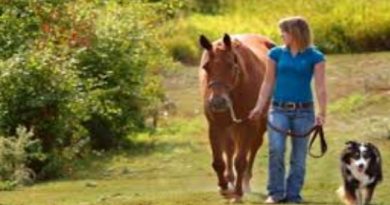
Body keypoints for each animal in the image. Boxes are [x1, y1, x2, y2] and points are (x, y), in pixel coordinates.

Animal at [198, 33, 274, 202]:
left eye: (230, 65)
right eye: (206, 67)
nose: (218, 102)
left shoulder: (248, 125)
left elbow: (240, 161)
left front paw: (238, 193)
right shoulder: (215, 126)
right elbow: (219, 161)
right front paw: (224, 187)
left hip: (259, 125)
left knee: (253, 148)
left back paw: (245, 183)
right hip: (230, 127)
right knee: (230, 148)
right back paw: (230, 180)